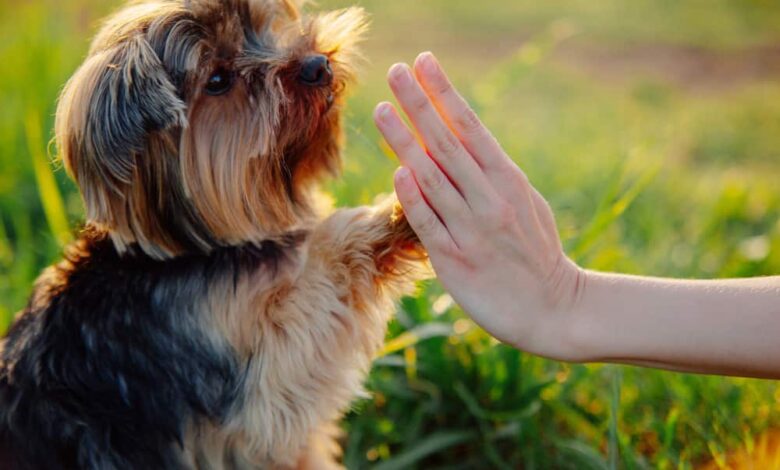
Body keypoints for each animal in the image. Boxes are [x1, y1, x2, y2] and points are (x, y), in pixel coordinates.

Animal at [1, 1, 426, 468]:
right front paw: (401, 211)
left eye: (263, 29)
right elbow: (314, 293)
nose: (317, 65)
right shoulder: (254, 390)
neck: (198, 248)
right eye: (218, 80)